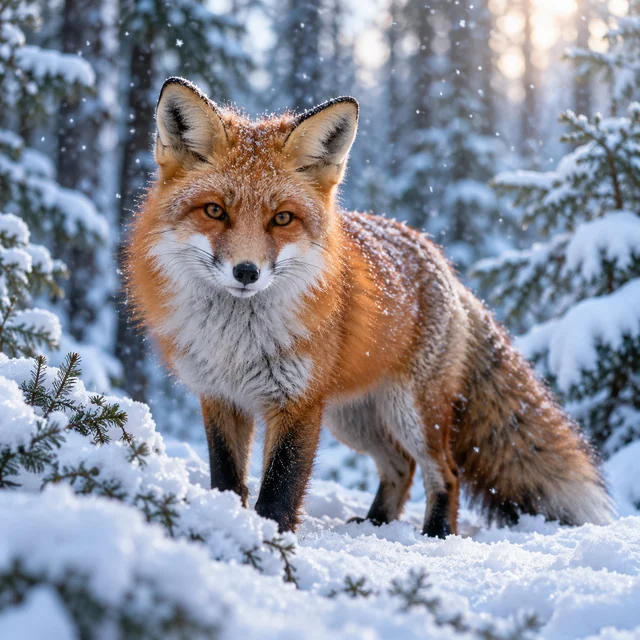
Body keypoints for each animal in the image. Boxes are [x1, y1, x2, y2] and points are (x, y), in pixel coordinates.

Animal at [125, 76, 613, 537]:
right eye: (214, 211)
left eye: (282, 218)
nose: (247, 272)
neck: (235, 344)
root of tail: (441, 262)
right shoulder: (219, 397)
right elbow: (227, 479)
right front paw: (228, 523)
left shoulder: (299, 403)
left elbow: (281, 489)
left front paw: (270, 542)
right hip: (354, 418)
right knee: (401, 467)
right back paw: (377, 522)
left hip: (412, 413)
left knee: (445, 471)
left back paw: (436, 535)